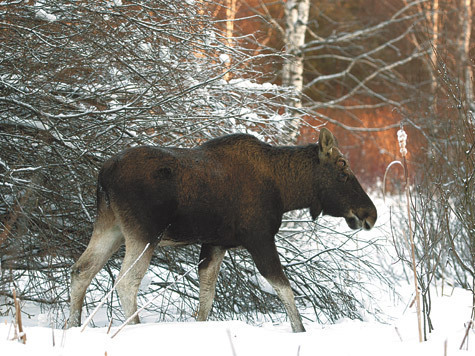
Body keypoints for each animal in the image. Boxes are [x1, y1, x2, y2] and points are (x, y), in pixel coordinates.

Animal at [69, 129, 378, 334]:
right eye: (343, 172)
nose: (370, 214)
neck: (286, 190)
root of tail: (104, 174)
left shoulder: (216, 243)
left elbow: (207, 295)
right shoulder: (259, 238)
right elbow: (284, 288)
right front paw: (299, 331)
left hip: (110, 228)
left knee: (81, 270)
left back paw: (71, 326)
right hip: (143, 234)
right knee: (126, 281)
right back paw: (133, 328)